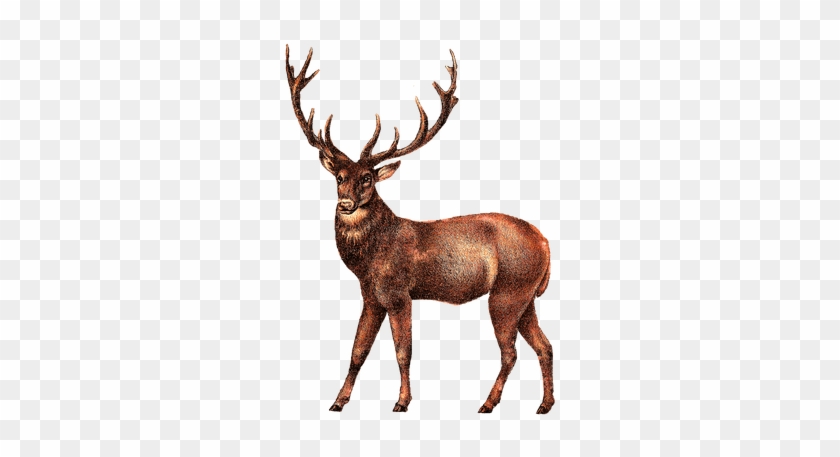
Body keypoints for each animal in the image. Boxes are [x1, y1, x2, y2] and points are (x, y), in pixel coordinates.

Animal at [285, 45, 554, 414]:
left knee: (510, 352)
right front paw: (338, 402)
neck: (369, 260)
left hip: (508, 292)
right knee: (545, 346)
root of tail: (545, 243)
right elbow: (358, 351)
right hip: (525, 297)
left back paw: (487, 403)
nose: (345, 204)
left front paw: (402, 401)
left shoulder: (398, 293)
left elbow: (403, 352)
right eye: (339, 178)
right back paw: (544, 404)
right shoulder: (371, 296)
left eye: (367, 178)